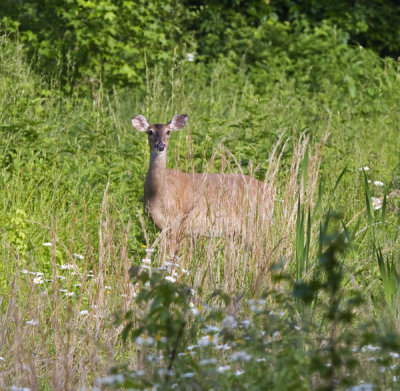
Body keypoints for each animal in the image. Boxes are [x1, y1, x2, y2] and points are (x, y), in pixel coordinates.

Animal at [133, 113, 270, 258]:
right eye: (150, 132)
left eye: (168, 131)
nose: (160, 146)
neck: (159, 194)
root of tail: (269, 189)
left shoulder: (178, 222)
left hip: (256, 221)